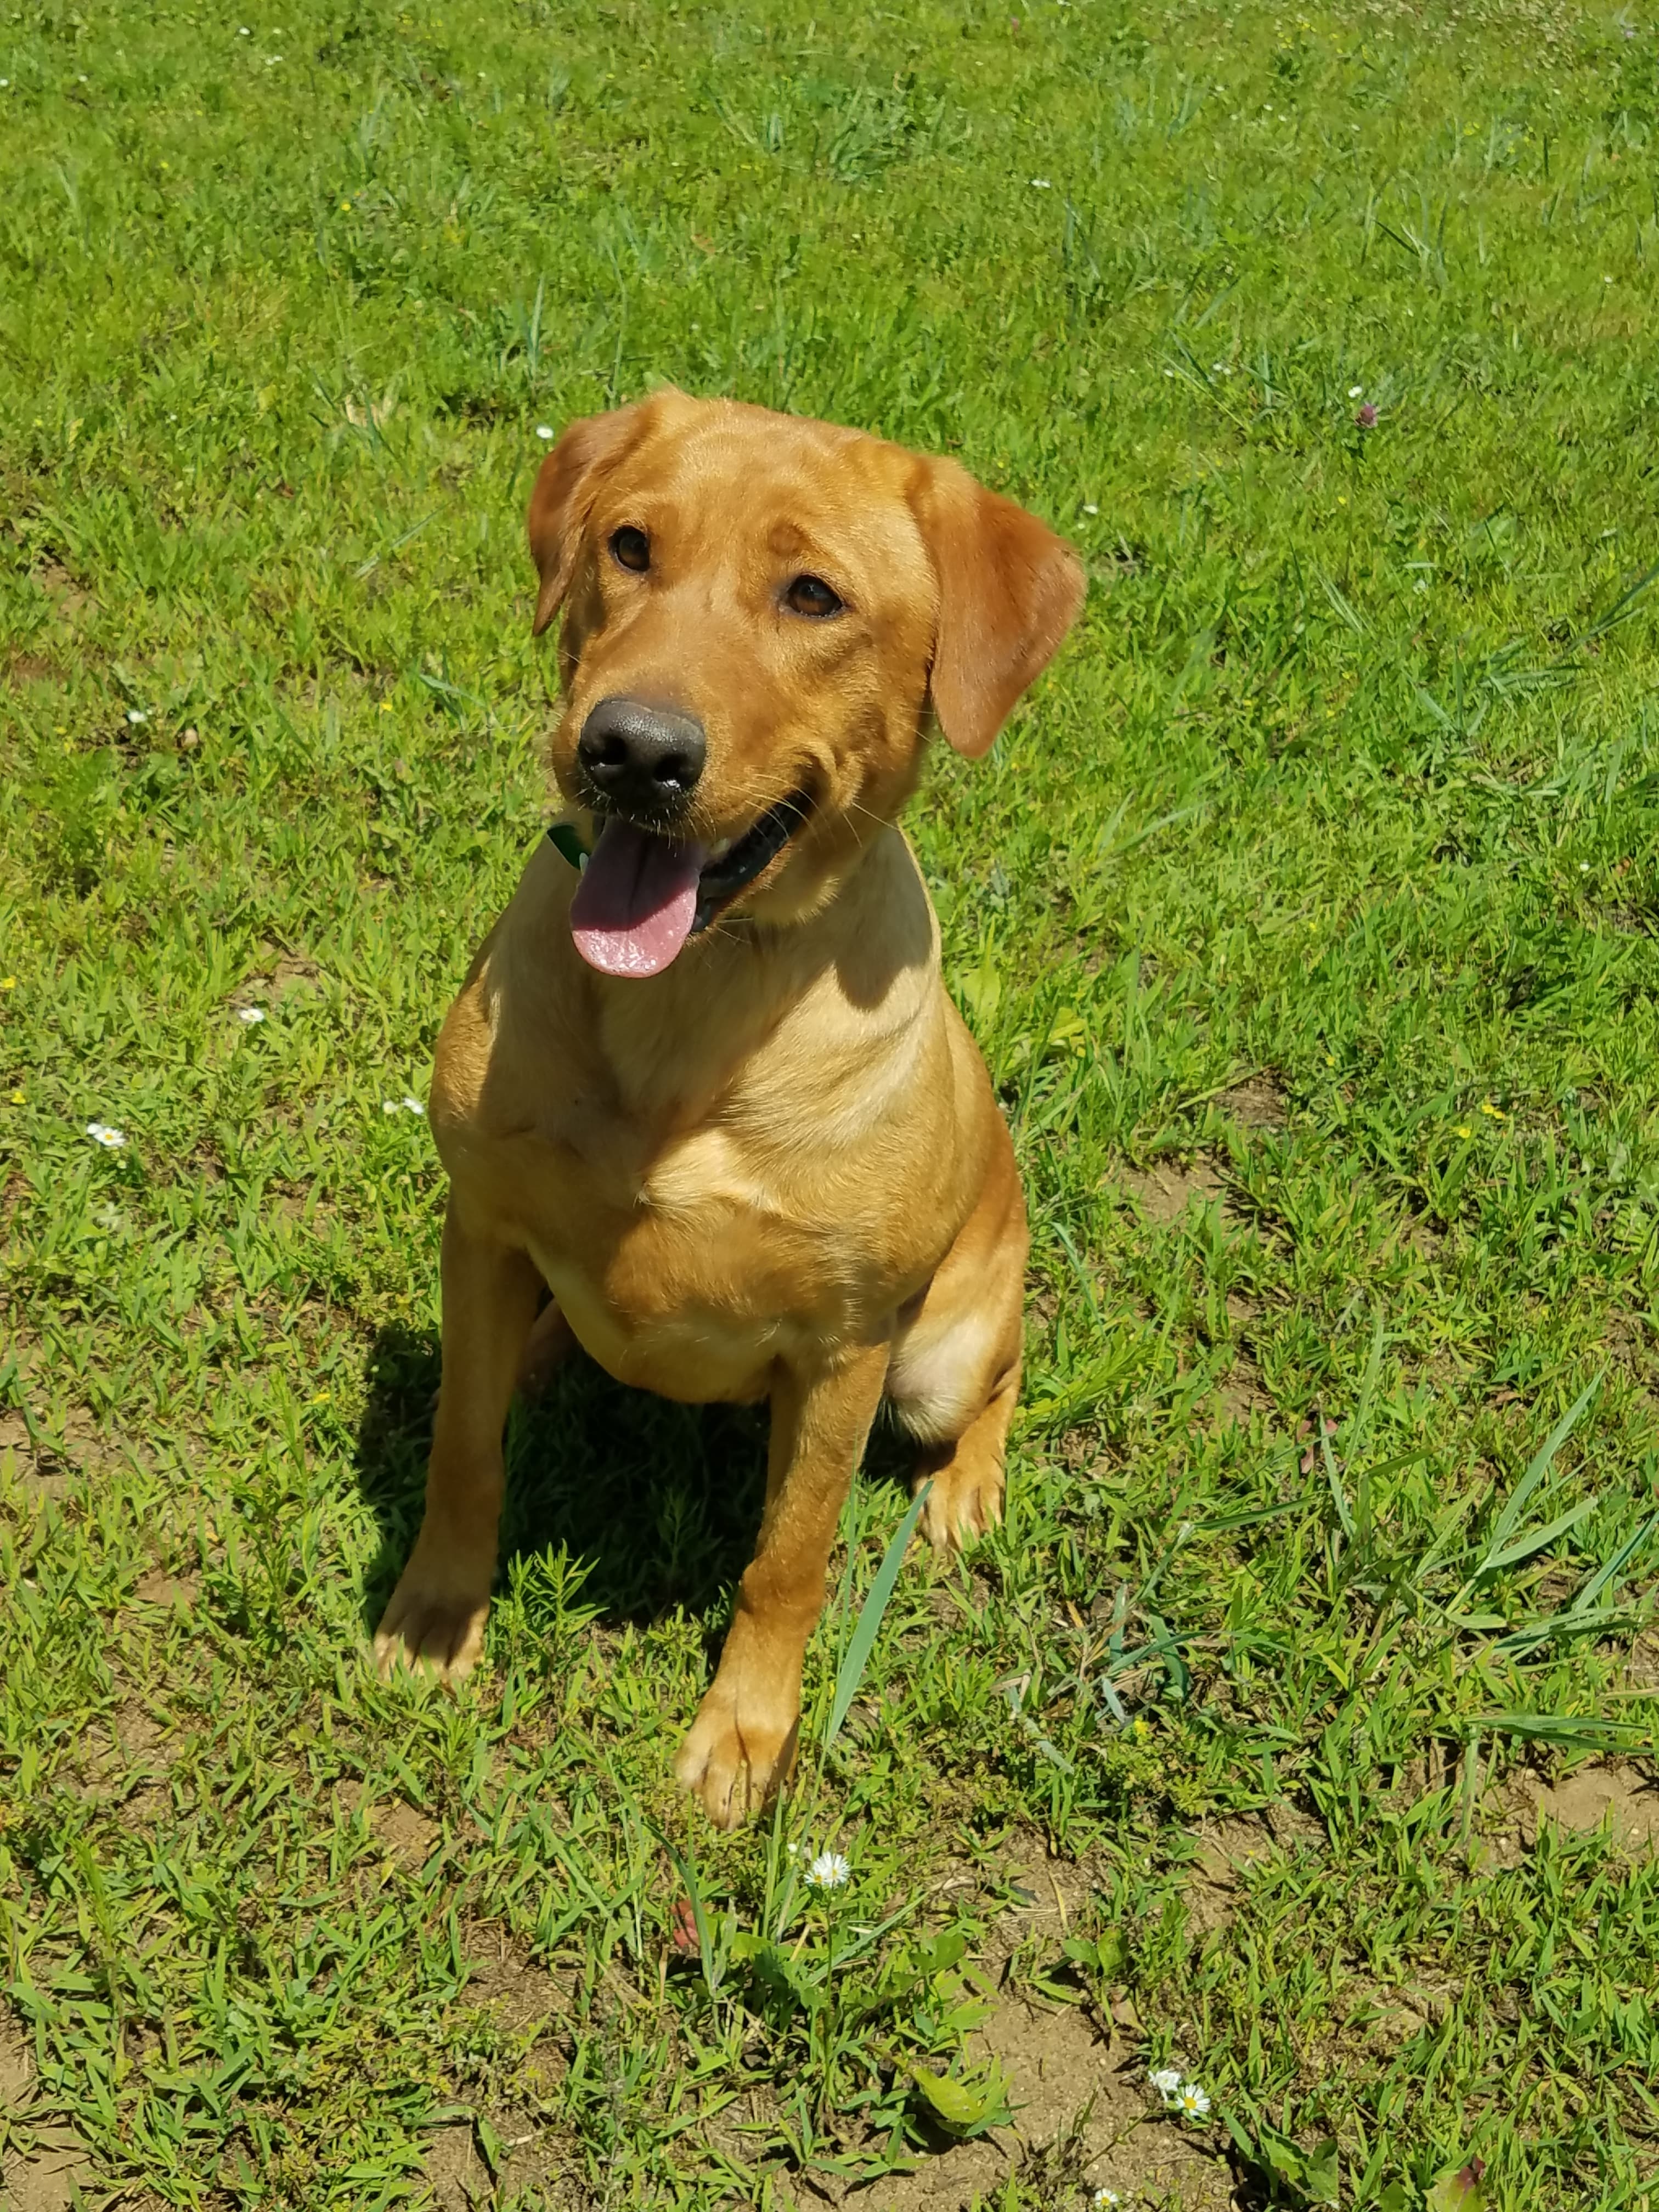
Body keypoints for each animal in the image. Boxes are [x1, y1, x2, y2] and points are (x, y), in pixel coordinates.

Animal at [369, 389, 1084, 1822]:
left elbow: (788, 1560)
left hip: (940, 1356)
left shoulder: (846, 1349)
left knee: (1006, 1374)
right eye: (630, 546)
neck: (688, 1005)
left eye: (814, 595)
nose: (632, 751)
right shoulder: (480, 1227)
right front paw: (434, 1616)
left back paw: (968, 1489)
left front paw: (747, 1735)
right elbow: (465, 1450)